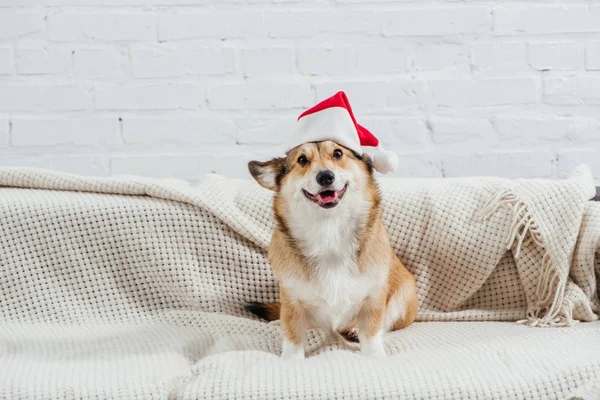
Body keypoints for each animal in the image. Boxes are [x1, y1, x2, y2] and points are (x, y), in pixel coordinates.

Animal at [244, 140, 418, 360]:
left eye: (338, 153)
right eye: (302, 160)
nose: (325, 176)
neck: (329, 233)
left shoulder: (374, 297)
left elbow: (372, 333)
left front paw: (375, 356)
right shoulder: (291, 299)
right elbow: (292, 335)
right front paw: (291, 360)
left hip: (404, 294)